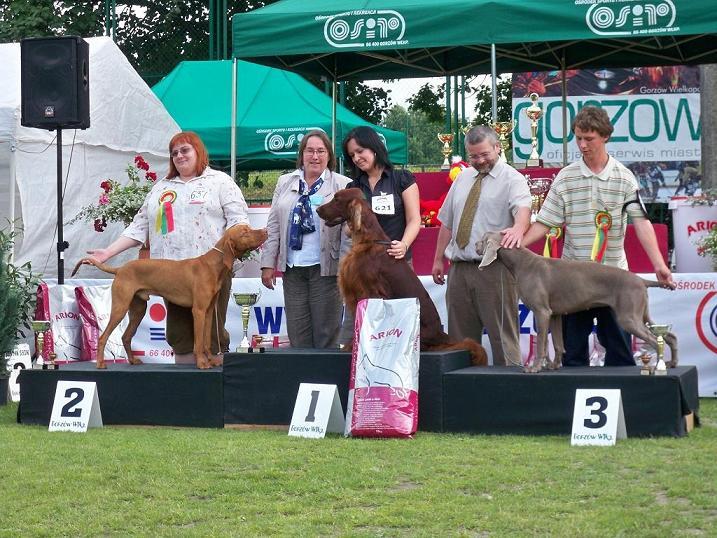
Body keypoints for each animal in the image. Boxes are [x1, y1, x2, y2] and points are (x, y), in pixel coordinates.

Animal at [72, 223, 266, 368]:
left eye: (249, 228)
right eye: (245, 232)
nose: (265, 231)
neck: (213, 265)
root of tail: (120, 269)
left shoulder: (209, 311)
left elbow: (205, 341)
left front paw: (211, 360)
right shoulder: (199, 311)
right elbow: (198, 342)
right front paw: (202, 363)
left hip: (138, 310)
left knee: (125, 336)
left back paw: (132, 360)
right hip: (120, 307)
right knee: (103, 337)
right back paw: (100, 363)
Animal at [476, 230, 676, 372]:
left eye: (483, 239)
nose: (475, 245)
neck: (522, 262)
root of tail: (641, 280)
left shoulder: (541, 312)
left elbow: (541, 343)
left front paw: (534, 367)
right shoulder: (553, 314)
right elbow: (557, 343)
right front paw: (554, 365)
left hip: (628, 317)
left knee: (655, 340)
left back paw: (656, 366)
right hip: (641, 314)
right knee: (669, 336)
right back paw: (672, 363)